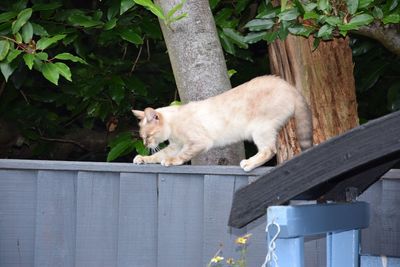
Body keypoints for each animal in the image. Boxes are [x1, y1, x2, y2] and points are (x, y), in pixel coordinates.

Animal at [131, 75, 312, 172]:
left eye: (148, 136)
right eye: (142, 137)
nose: (145, 144)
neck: (173, 123)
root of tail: (290, 87)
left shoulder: (196, 143)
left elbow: (179, 156)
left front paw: (170, 162)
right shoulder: (175, 145)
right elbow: (158, 155)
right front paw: (143, 158)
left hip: (260, 129)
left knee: (269, 150)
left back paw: (248, 163)